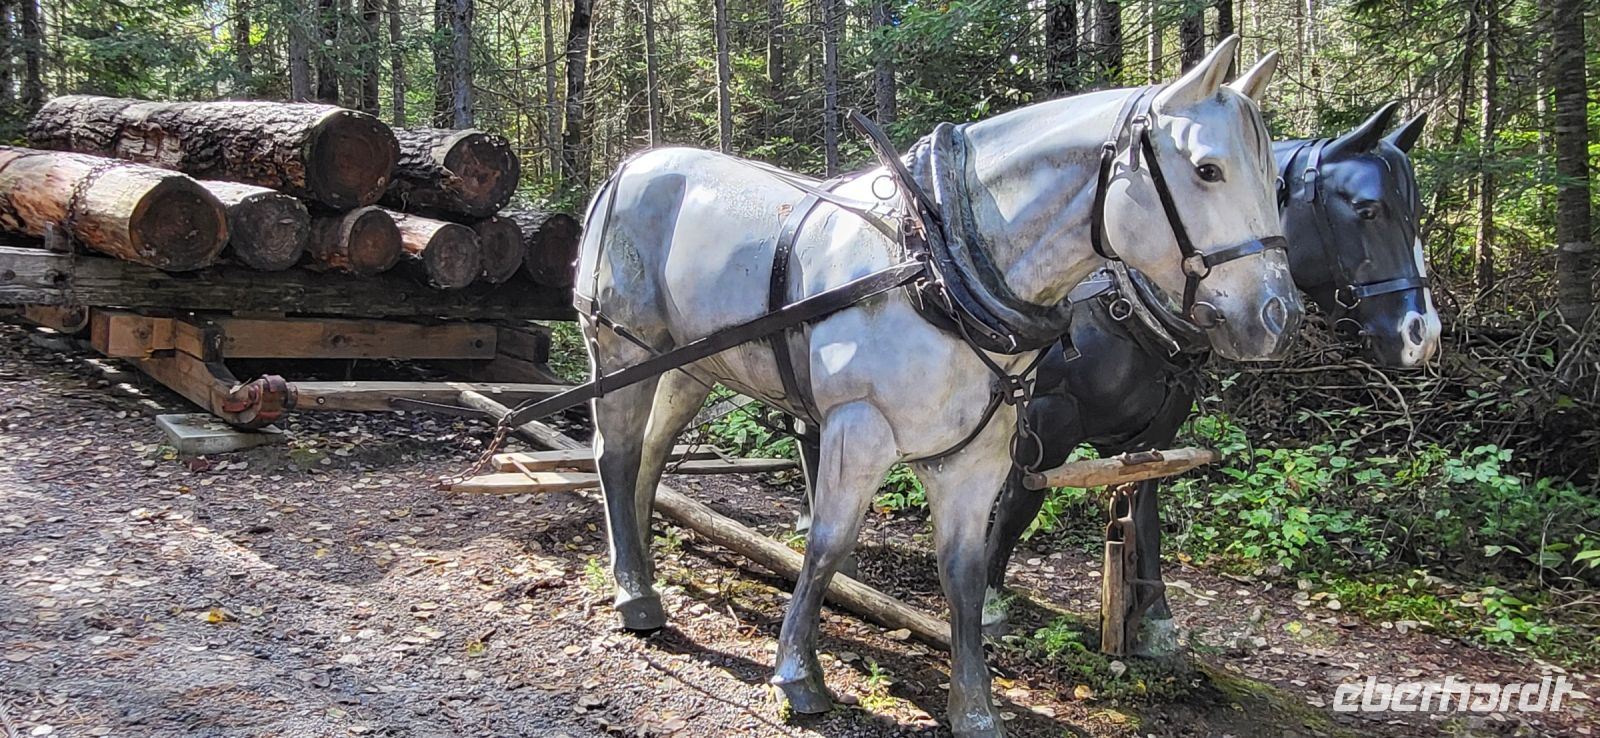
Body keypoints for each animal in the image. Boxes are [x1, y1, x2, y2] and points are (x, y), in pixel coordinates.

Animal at [577, 37, 1298, 737]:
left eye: (1278, 183)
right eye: (1207, 169)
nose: (1277, 317)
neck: (936, 267)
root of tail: (626, 169)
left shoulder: (976, 457)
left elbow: (966, 572)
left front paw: (975, 706)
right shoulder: (859, 427)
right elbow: (828, 543)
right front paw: (798, 674)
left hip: (687, 367)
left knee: (651, 456)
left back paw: (638, 560)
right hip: (619, 349)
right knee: (615, 457)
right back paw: (636, 595)